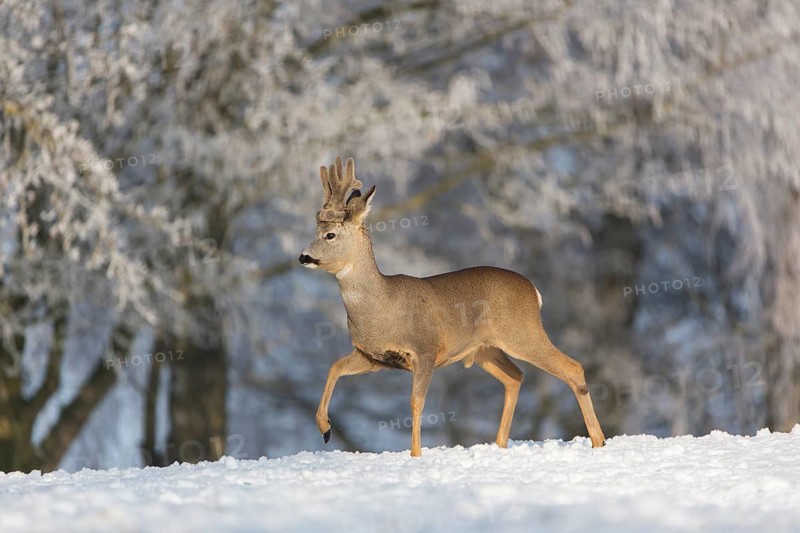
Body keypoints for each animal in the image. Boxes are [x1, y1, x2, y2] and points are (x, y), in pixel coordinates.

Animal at [299, 157, 606, 457]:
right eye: (315, 231)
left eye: (330, 235)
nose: (303, 257)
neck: (382, 306)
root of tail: (533, 290)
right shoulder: (372, 356)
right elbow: (335, 367)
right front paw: (325, 428)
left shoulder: (425, 349)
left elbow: (416, 401)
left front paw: (415, 454)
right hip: (485, 349)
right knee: (515, 377)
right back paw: (500, 444)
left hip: (522, 332)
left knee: (572, 367)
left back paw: (598, 441)